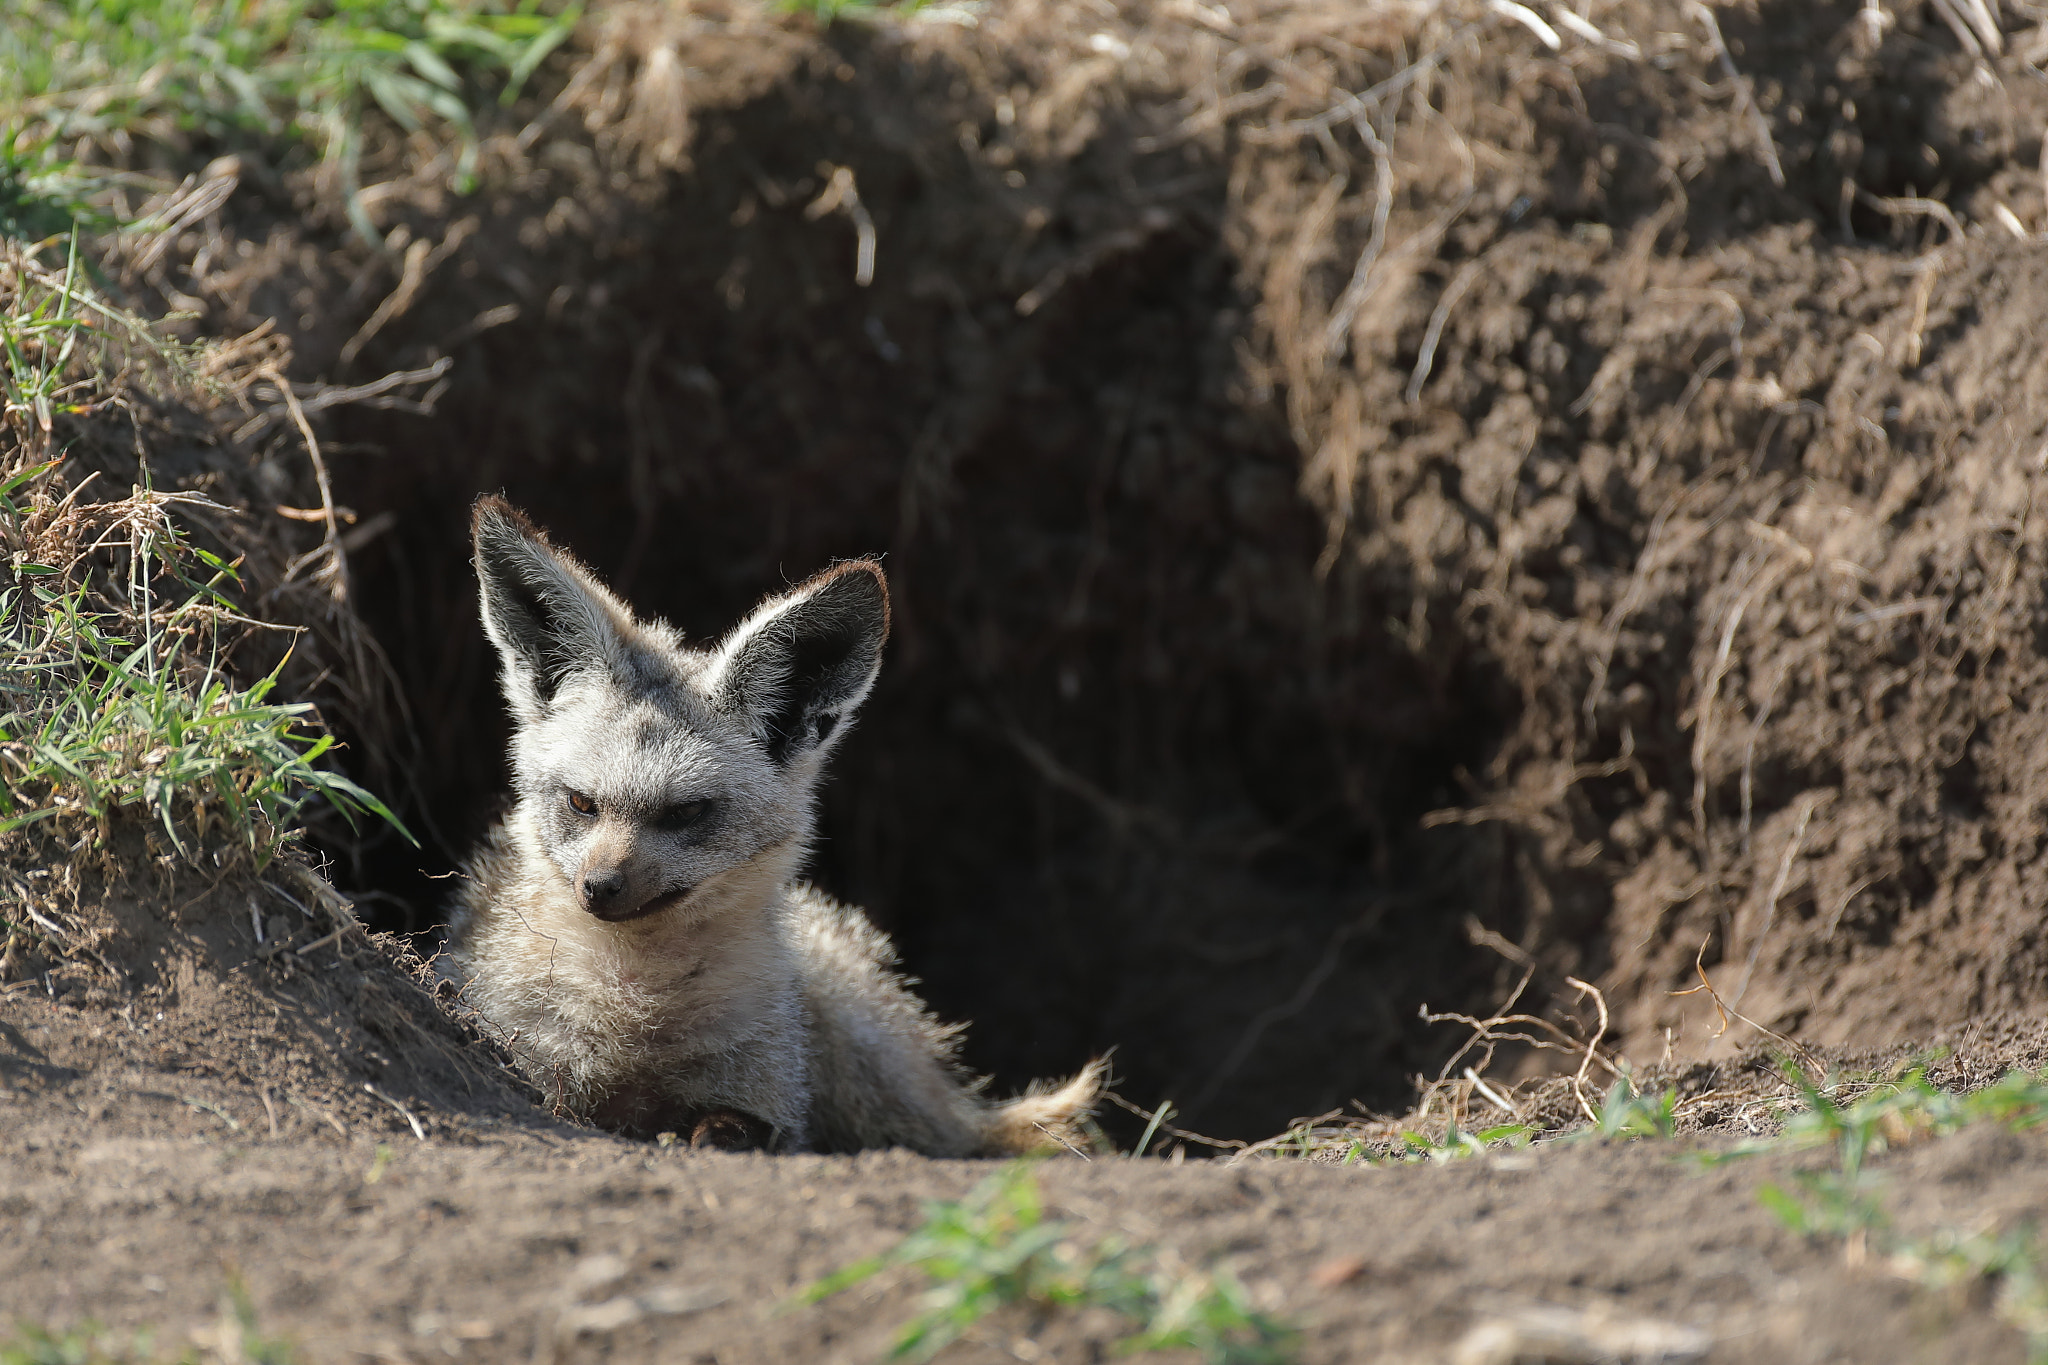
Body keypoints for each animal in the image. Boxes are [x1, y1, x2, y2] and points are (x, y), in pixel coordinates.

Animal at [440, 497, 1097, 1162]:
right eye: (579, 802)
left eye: (686, 812)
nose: (598, 888)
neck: (634, 1005)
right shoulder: (533, 1071)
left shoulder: (766, 1099)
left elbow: (738, 1126)